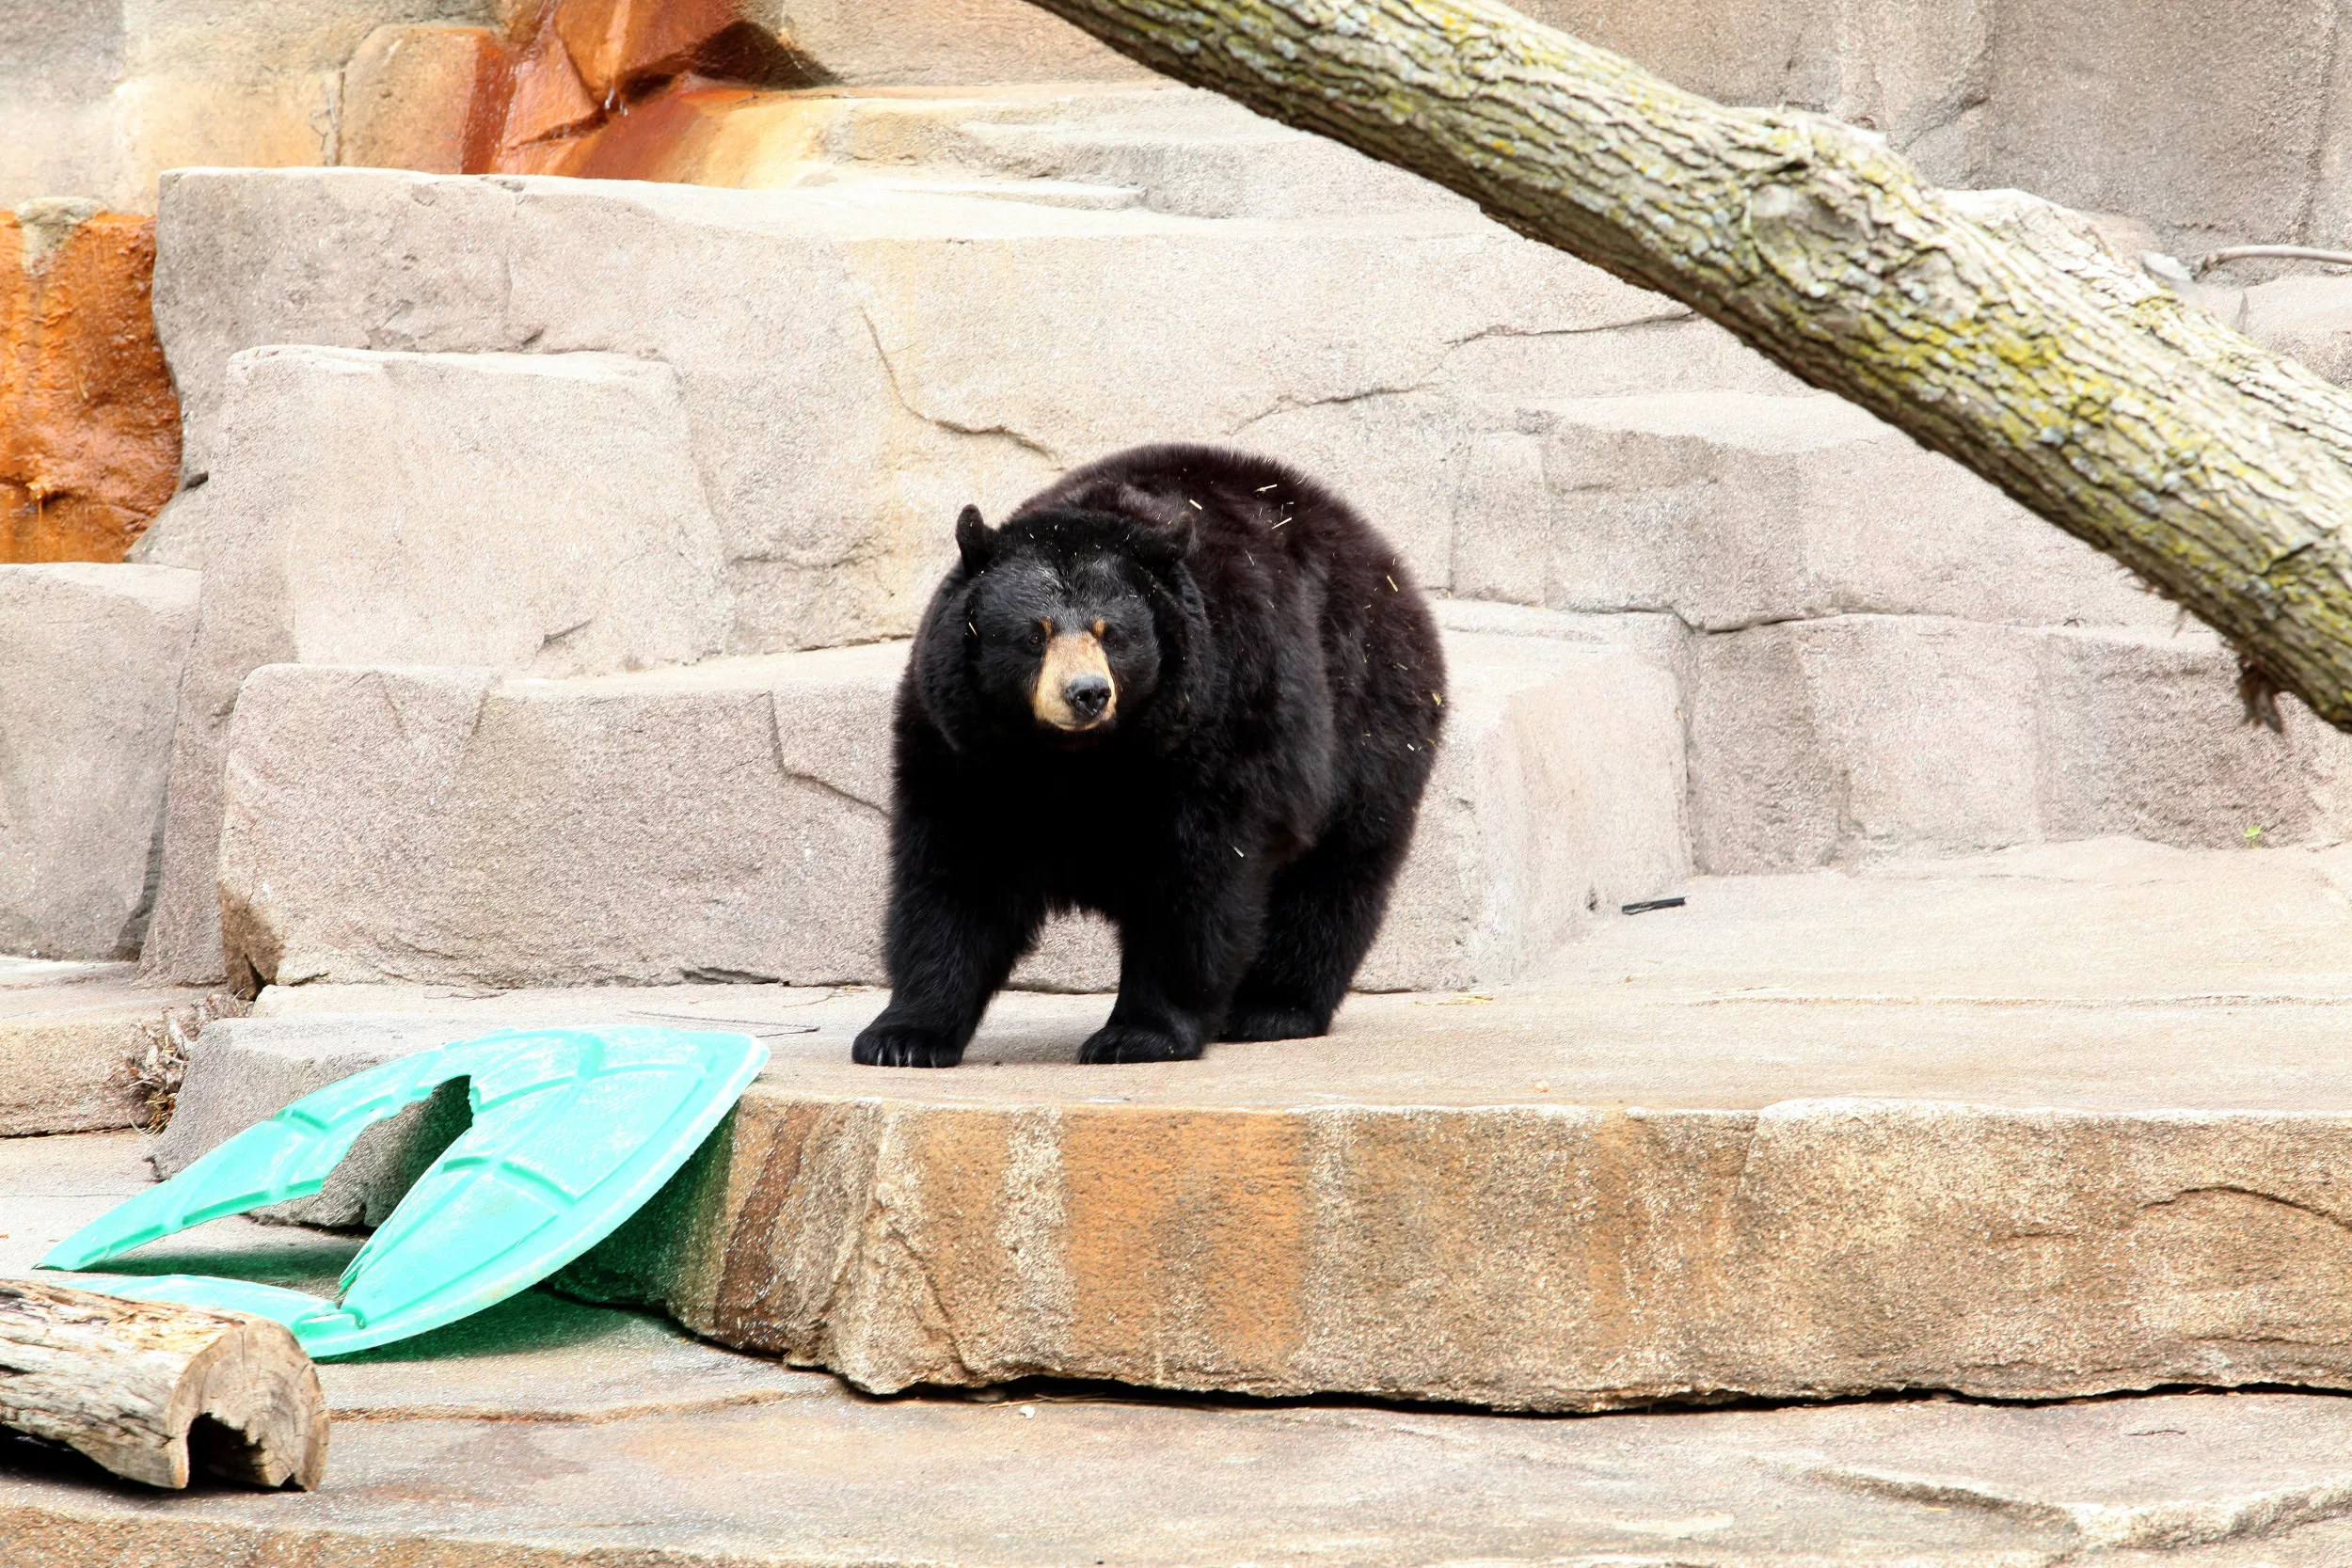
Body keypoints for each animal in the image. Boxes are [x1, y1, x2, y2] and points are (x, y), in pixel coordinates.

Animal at [851, 443, 1446, 1068]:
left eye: (1111, 633)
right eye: (1035, 634)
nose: (1087, 693)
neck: (1073, 757)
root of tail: (1374, 547)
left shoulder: (1219, 717)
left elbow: (1197, 879)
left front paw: (1138, 1034)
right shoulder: (962, 745)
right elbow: (956, 871)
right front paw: (903, 1036)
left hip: (1365, 715)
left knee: (1336, 871)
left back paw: (1271, 1007)